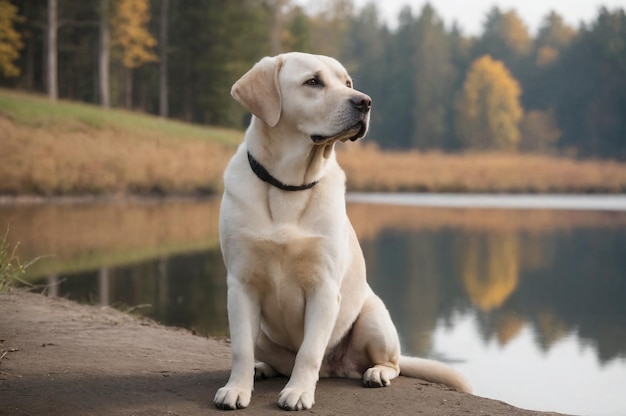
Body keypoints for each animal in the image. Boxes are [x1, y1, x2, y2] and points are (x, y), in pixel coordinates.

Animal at [214, 51, 468, 410]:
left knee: (392, 363)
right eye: (313, 82)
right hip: (264, 333)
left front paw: (298, 392)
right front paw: (236, 388)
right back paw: (262, 368)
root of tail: (334, 369)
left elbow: (309, 351)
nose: (365, 101)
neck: (289, 186)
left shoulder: (323, 287)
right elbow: (240, 349)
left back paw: (376, 373)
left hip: (373, 317)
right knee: (272, 358)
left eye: (347, 82)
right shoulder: (241, 284)